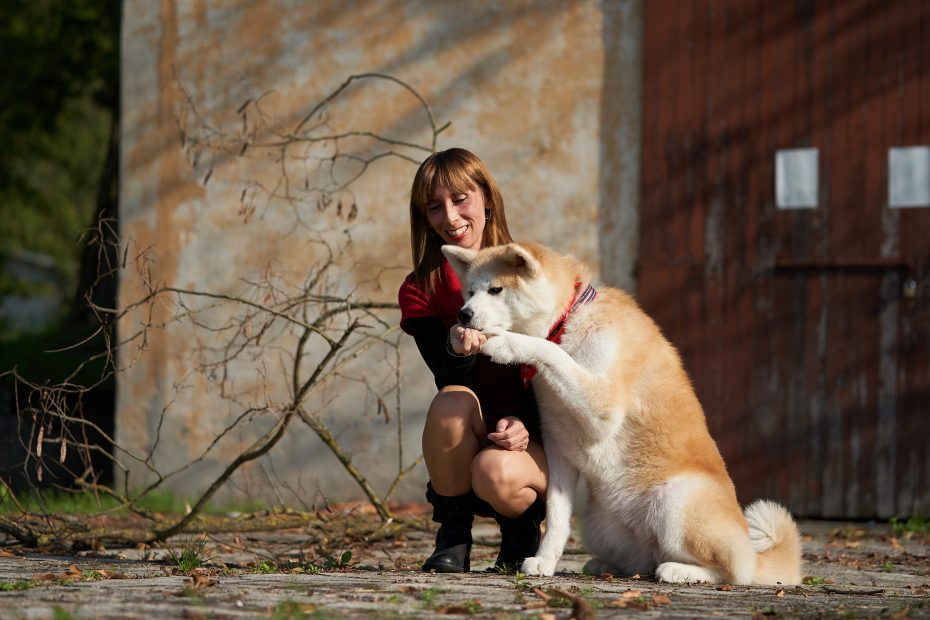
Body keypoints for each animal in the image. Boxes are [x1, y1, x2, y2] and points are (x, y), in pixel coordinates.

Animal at [440, 242, 796, 588]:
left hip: (676, 501)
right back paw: (605, 566)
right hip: (598, 526)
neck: (569, 319)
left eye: (496, 289)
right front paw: (545, 561)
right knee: (642, 561)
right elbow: (556, 516)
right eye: (470, 291)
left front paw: (507, 344)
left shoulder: (603, 407)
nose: (463, 314)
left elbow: (550, 349)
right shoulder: (558, 446)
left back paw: (679, 571)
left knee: (733, 571)